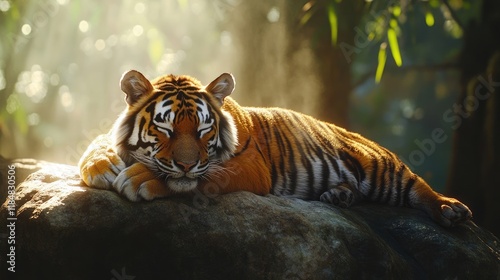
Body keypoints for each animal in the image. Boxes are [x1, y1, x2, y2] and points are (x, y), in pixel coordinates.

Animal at [79, 70, 472, 228]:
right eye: (165, 128)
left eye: (205, 130)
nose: (187, 164)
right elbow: (100, 141)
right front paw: (100, 165)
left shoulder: (250, 166)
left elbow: (203, 177)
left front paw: (141, 178)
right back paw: (339, 195)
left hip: (380, 168)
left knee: (416, 186)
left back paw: (450, 210)